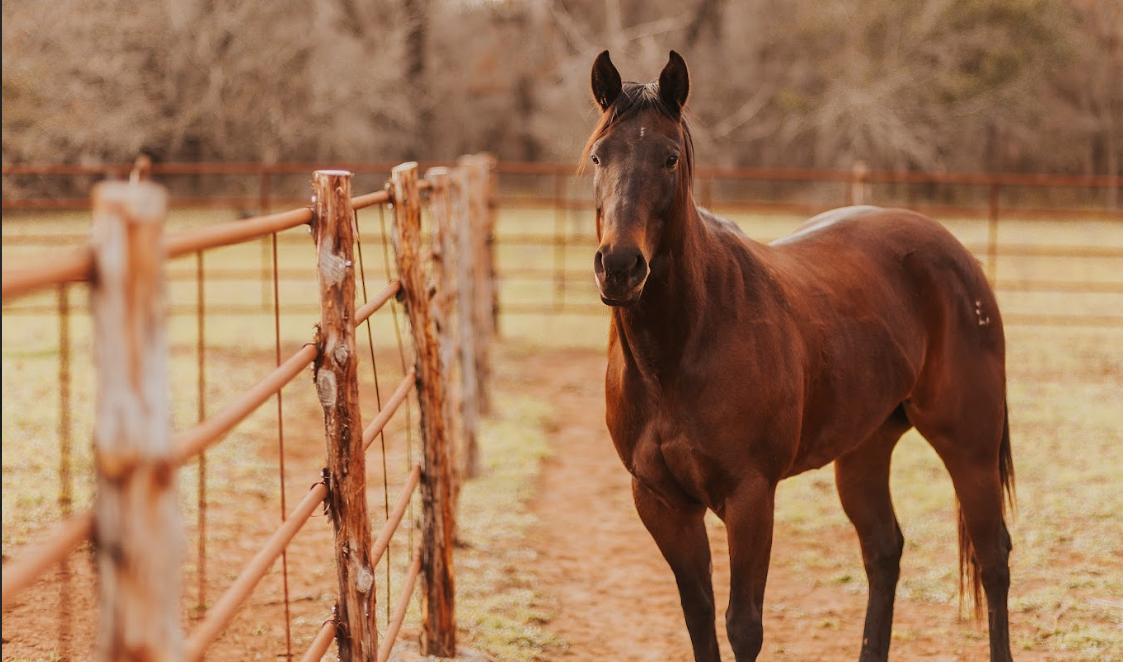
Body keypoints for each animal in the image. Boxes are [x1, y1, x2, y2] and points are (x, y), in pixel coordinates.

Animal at [588, 49, 1019, 656]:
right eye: (599, 156)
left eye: (669, 158)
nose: (621, 267)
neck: (681, 349)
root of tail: (957, 254)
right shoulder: (661, 503)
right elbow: (698, 617)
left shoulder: (750, 497)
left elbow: (742, 625)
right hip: (864, 449)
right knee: (884, 551)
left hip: (969, 447)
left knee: (992, 557)